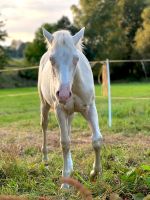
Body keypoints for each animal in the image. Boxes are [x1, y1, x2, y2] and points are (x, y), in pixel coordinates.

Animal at [38, 27, 102, 188]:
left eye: (76, 58)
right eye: (52, 59)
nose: (64, 94)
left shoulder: (90, 108)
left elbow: (97, 140)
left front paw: (95, 174)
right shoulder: (59, 110)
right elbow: (65, 143)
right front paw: (66, 183)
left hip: (71, 113)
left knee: (69, 129)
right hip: (45, 105)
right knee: (44, 126)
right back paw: (45, 159)